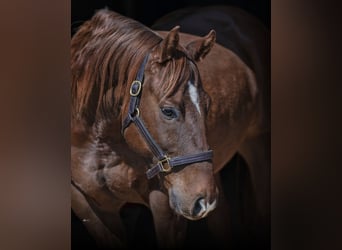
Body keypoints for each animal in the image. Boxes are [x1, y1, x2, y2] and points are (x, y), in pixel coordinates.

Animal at [71, 4, 270, 249]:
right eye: (168, 111)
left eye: (207, 104)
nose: (202, 201)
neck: (100, 141)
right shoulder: (90, 207)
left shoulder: (166, 206)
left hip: (257, 147)